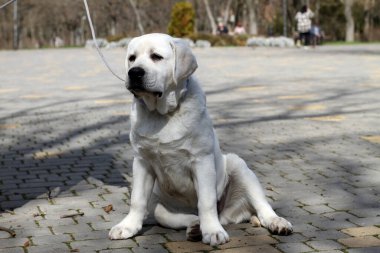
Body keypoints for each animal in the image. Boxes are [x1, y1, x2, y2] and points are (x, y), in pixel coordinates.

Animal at [108, 33, 292, 245]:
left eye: (156, 57)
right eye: (132, 58)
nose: (134, 72)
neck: (163, 114)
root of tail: (228, 216)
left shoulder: (201, 160)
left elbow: (206, 201)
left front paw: (213, 231)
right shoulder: (142, 161)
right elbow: (137, 200)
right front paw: (127, 226)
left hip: (239, 167)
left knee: (262, 205)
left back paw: (276, 222)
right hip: (160, 205)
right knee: (179, 215)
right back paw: (195, 226)